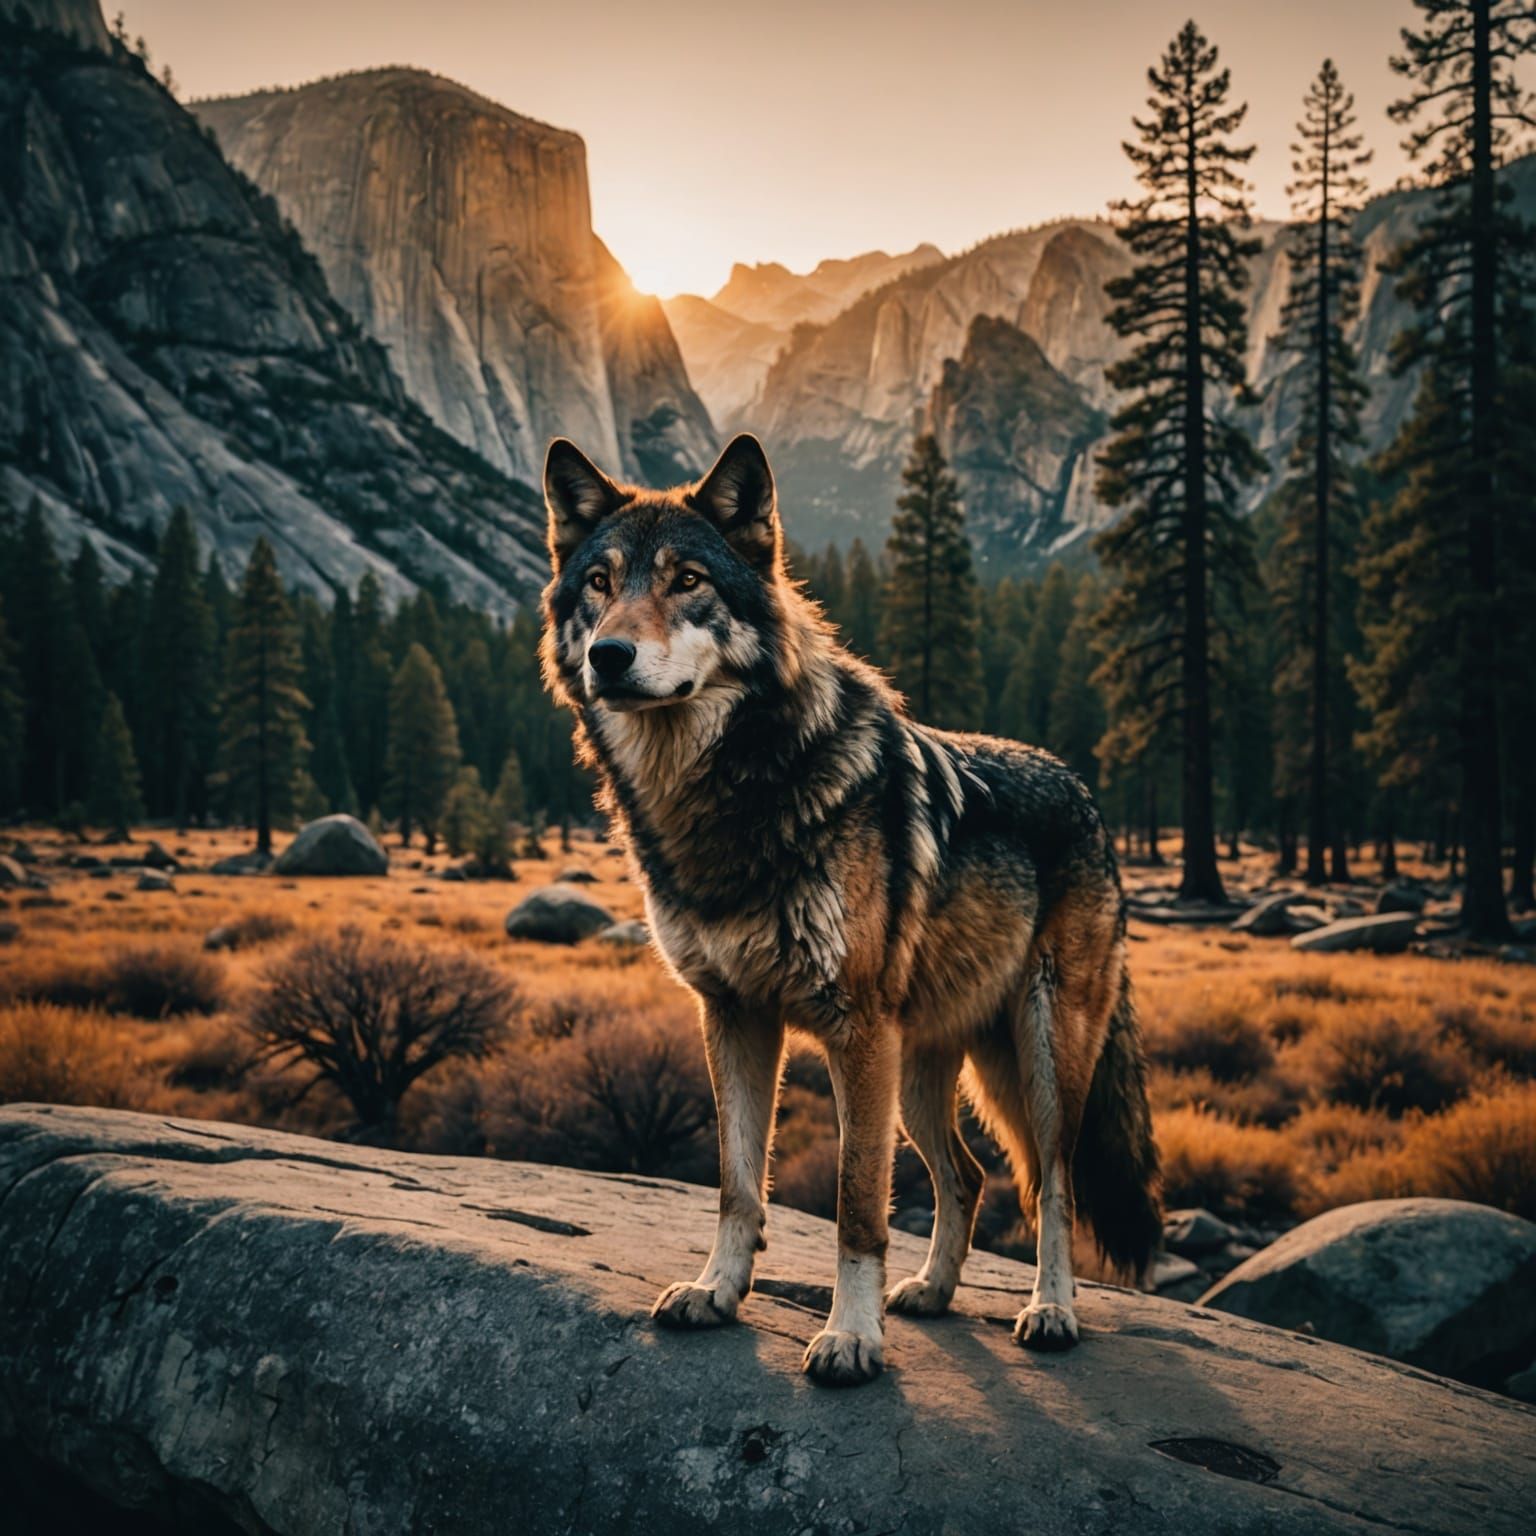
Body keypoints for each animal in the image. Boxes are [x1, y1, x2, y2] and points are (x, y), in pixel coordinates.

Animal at [540, 433, 1161, 1387]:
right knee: (968, 1177)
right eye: (601, 582)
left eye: (688, 581)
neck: (729, 794)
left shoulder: (853, 1028)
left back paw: (1051, 1311)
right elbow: (737, 1183)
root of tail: (1084, 791)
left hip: (1040, 1059)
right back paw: (933, 1293)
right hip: (922, 1072)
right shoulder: (734, 1016)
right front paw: (715, 1293)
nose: (609, 655)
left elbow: (856, 1206)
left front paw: (851, 1339)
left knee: (1047, 1186)